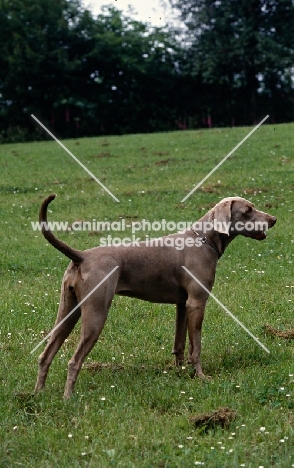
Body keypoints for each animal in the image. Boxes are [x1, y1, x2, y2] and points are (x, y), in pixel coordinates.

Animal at [34, 194, 276, 398]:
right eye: (248, 210)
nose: (274, 219)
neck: (204, 239)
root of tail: (82, 256)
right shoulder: (197, 303)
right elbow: (196, 346)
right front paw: (201, 376)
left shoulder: (183, 304)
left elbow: (179, 344)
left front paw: (179, 372)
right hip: (96, 313)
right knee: (74, 361)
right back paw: (68, 398)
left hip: (68, 309)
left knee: (45, 355)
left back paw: (38, 394)